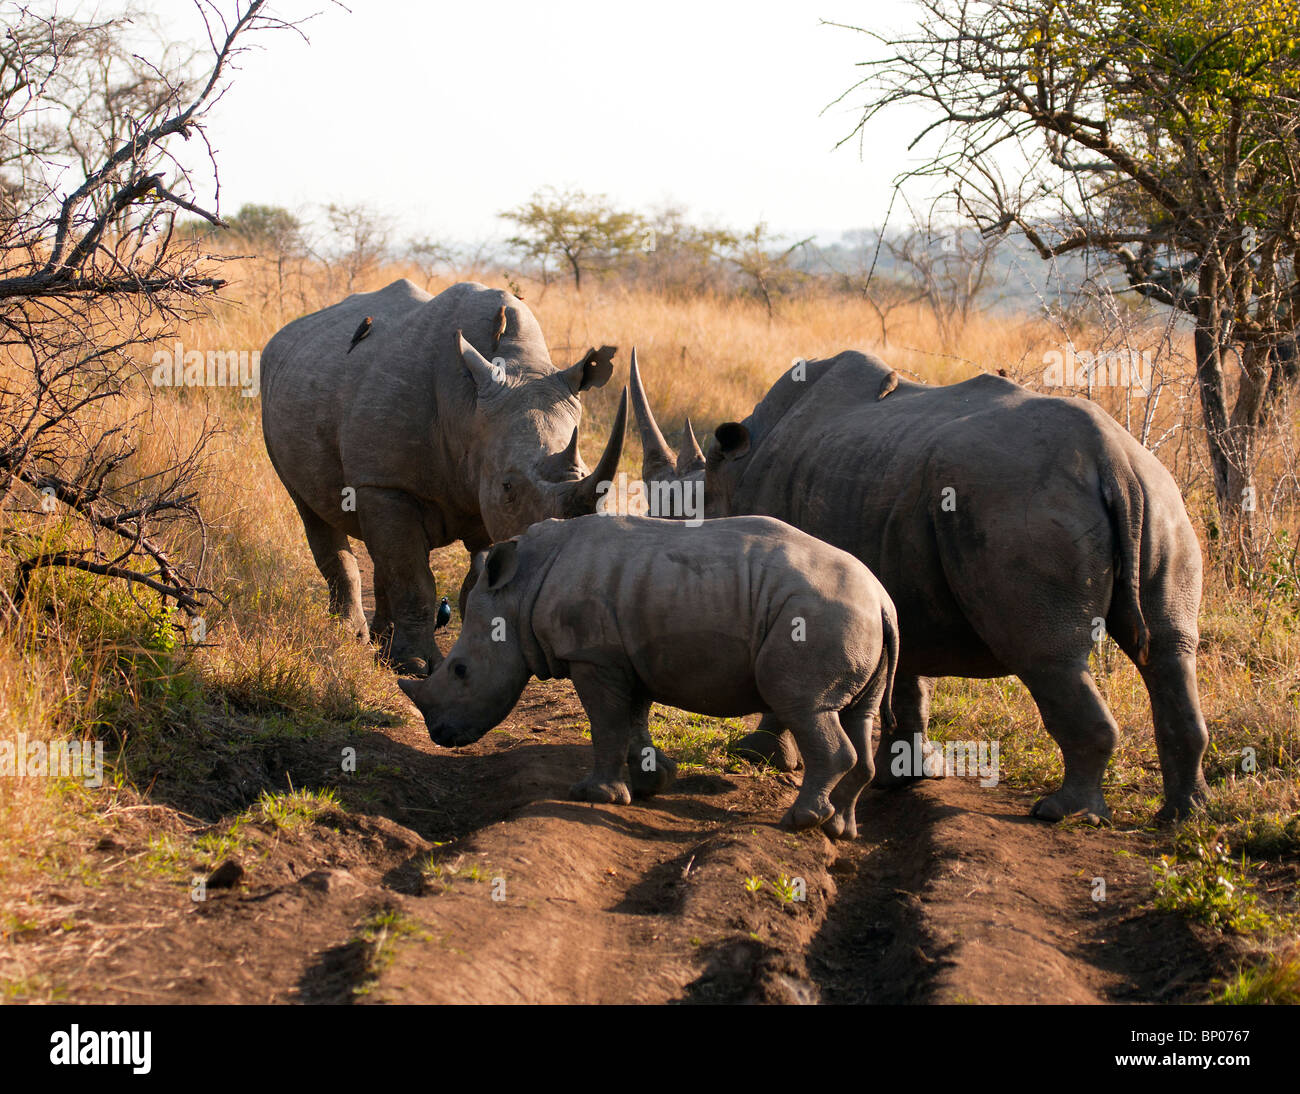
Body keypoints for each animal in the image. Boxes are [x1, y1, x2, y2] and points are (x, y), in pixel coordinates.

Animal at [400, 511, 899, 836]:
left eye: (461, 670)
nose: (440, 736)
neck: (519, 590)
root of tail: (881, 598)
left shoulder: (593, 656)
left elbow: (606, 724)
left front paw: (594, 796)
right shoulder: (625, 656)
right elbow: (632, 720)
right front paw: (649, 783)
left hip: (819, 616)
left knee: (803, 706)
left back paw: (800, 822)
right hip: (855, 620)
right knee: (857, 715)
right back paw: (839, 830)